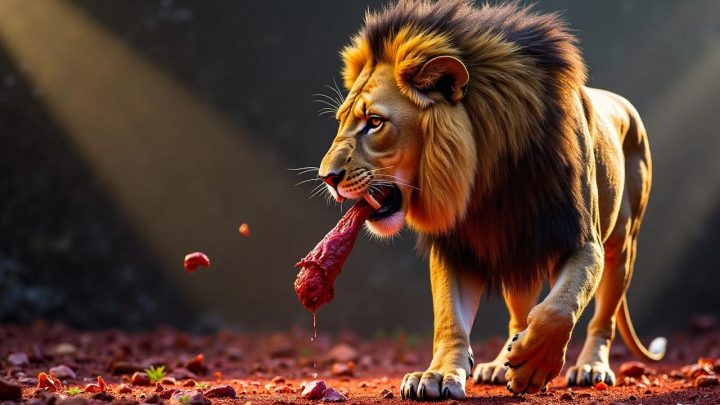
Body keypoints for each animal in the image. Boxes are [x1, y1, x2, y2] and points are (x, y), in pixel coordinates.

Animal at [316, 0, 665, 400]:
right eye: (342, 120)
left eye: (374, 122)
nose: (326, 177)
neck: (485, 175)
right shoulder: (457, 245)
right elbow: (449, 317)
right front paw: (437, 375)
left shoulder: (582, 240)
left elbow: (560, 307)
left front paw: (533, 366)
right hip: (518, 252)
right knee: (519, 315)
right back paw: (501, 363)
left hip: (620, 248)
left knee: (602, 318)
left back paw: (590, 367)